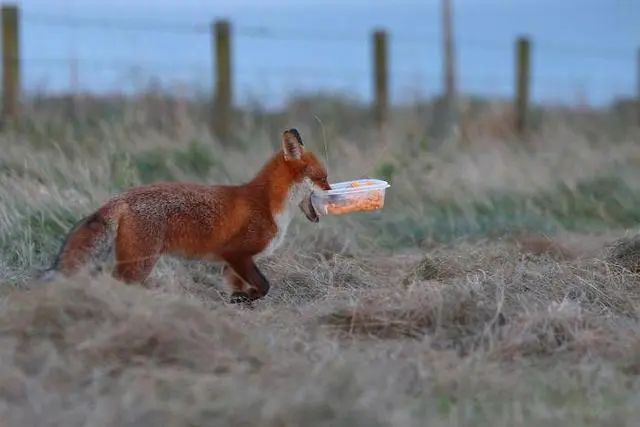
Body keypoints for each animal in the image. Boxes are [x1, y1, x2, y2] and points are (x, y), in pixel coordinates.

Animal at [43, 130, 330, 304]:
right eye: (322, 177)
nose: (331, 189)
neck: (270, 206)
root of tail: (119, 198)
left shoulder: (232, 266)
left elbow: (244, 289)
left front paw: (239, 303)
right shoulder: (236, 253)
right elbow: (265, 286)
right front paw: (244, 299)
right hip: (139, 265)